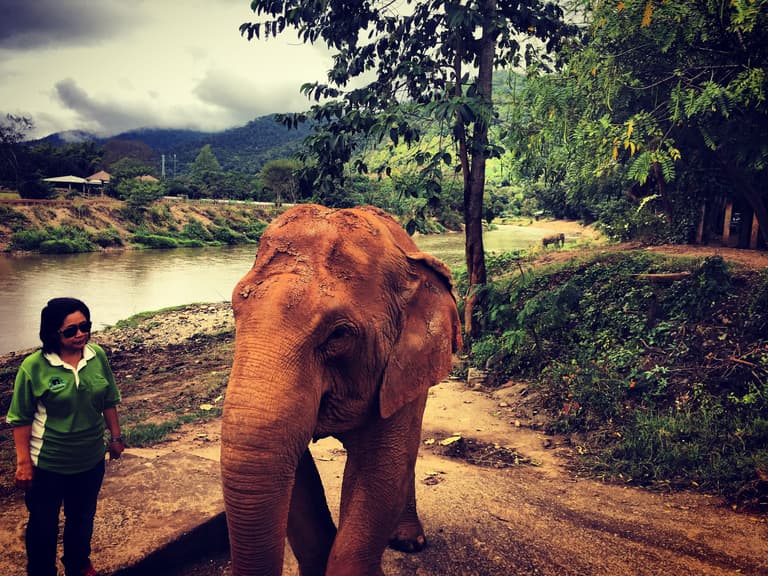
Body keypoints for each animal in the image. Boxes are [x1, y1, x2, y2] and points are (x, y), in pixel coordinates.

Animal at [220, 204, 463, 576]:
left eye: (338, 334)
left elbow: (380, 472)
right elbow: (297, 476)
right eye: (235, 311)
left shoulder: (396, 370)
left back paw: (408, 542)